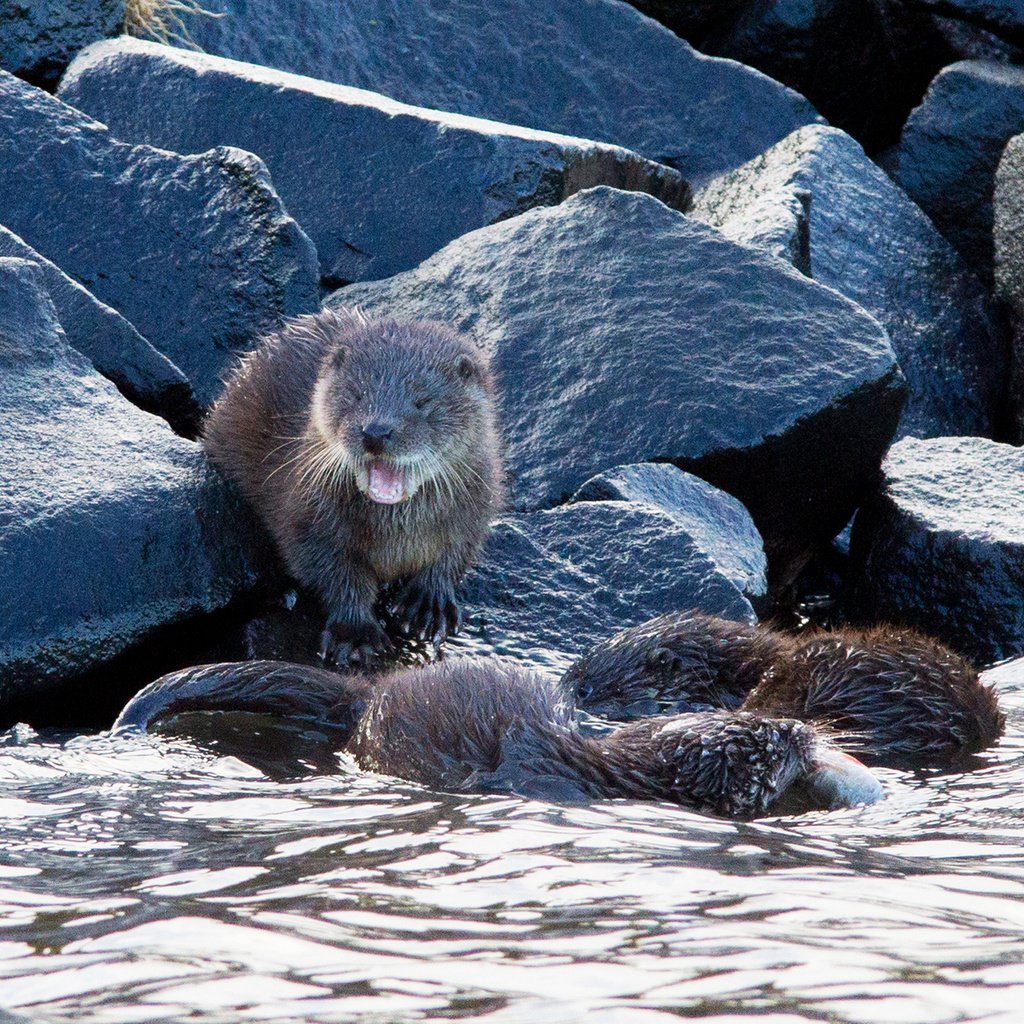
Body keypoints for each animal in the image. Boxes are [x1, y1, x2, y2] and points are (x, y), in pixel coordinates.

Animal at [202, 307, 503, 667]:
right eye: (356, 395)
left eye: (423, 401)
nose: (376, 430)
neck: (396, 538)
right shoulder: (308, 518)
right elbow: (335, 574)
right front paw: (356, 634)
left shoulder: (476, 507)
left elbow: (453, 555)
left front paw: (429, 605)